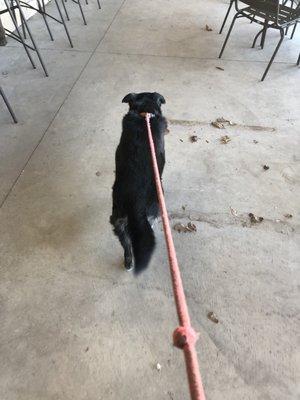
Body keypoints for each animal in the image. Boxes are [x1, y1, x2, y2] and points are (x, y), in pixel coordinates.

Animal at [110, 92, 168, 274]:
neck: (144, 113)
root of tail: (135, 203)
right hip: (154, 208)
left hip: (119, 221)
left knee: (127, 246)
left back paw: (128, 263)